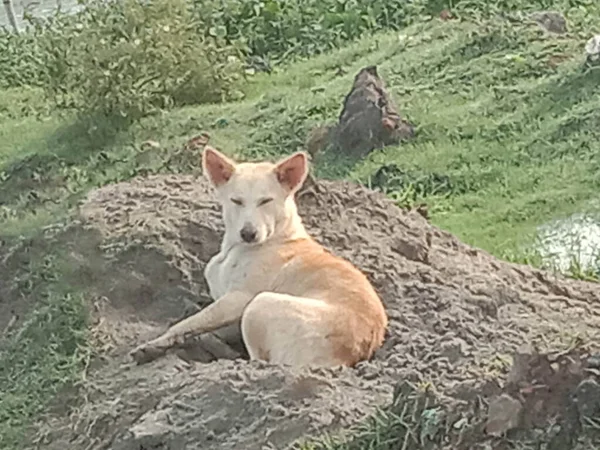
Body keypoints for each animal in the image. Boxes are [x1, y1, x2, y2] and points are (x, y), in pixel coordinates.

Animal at [129, 148, 386, 370]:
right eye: (236, 201)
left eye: (265, 201)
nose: (248, 233)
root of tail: (351, 354)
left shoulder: (237, 300)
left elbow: (188, 322)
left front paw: (156, 344)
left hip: (260, 304)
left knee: (258, 360)